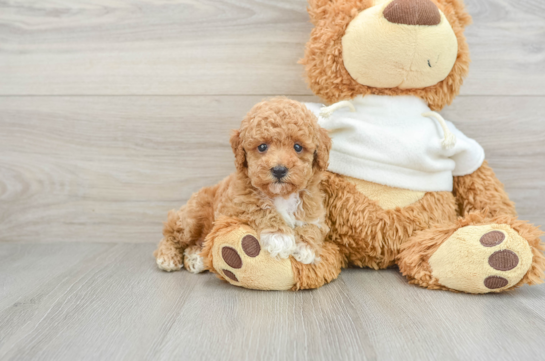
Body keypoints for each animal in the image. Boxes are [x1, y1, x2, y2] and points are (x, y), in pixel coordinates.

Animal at [154, 96, 332, 272]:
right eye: (262, 147)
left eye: (297, 147)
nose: (279, 170)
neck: (280, 194)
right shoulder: (237, 206)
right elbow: (262, 209)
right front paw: (279, 236)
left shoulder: (313, 205)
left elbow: (312, 224)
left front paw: (305, 248)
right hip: (193, 217)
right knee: (172, 231)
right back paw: (167, 257)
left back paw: (195, 258)